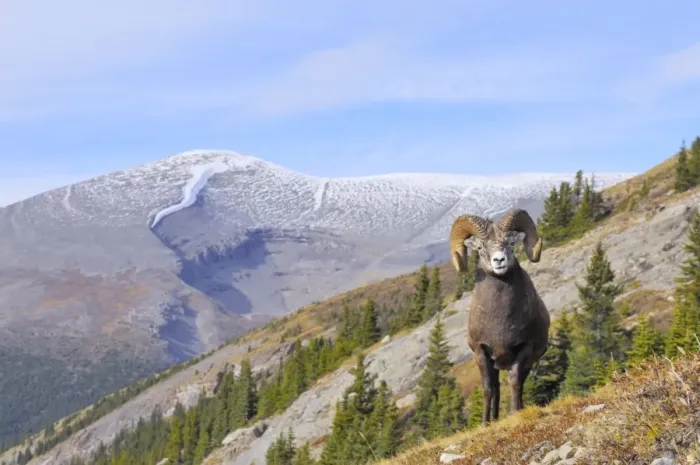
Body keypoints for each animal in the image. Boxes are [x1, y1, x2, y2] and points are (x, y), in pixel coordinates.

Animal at [449, 208, 550, 425]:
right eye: (480, 247)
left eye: (510, 243)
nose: (499, 261)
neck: (500, 319)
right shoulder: (481, 353)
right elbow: (488, 389)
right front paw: (485, 424)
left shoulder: (524, 349)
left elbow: (515, 382)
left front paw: (514, 413)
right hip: (495, 364)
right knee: (495, 388)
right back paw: (494, 419)